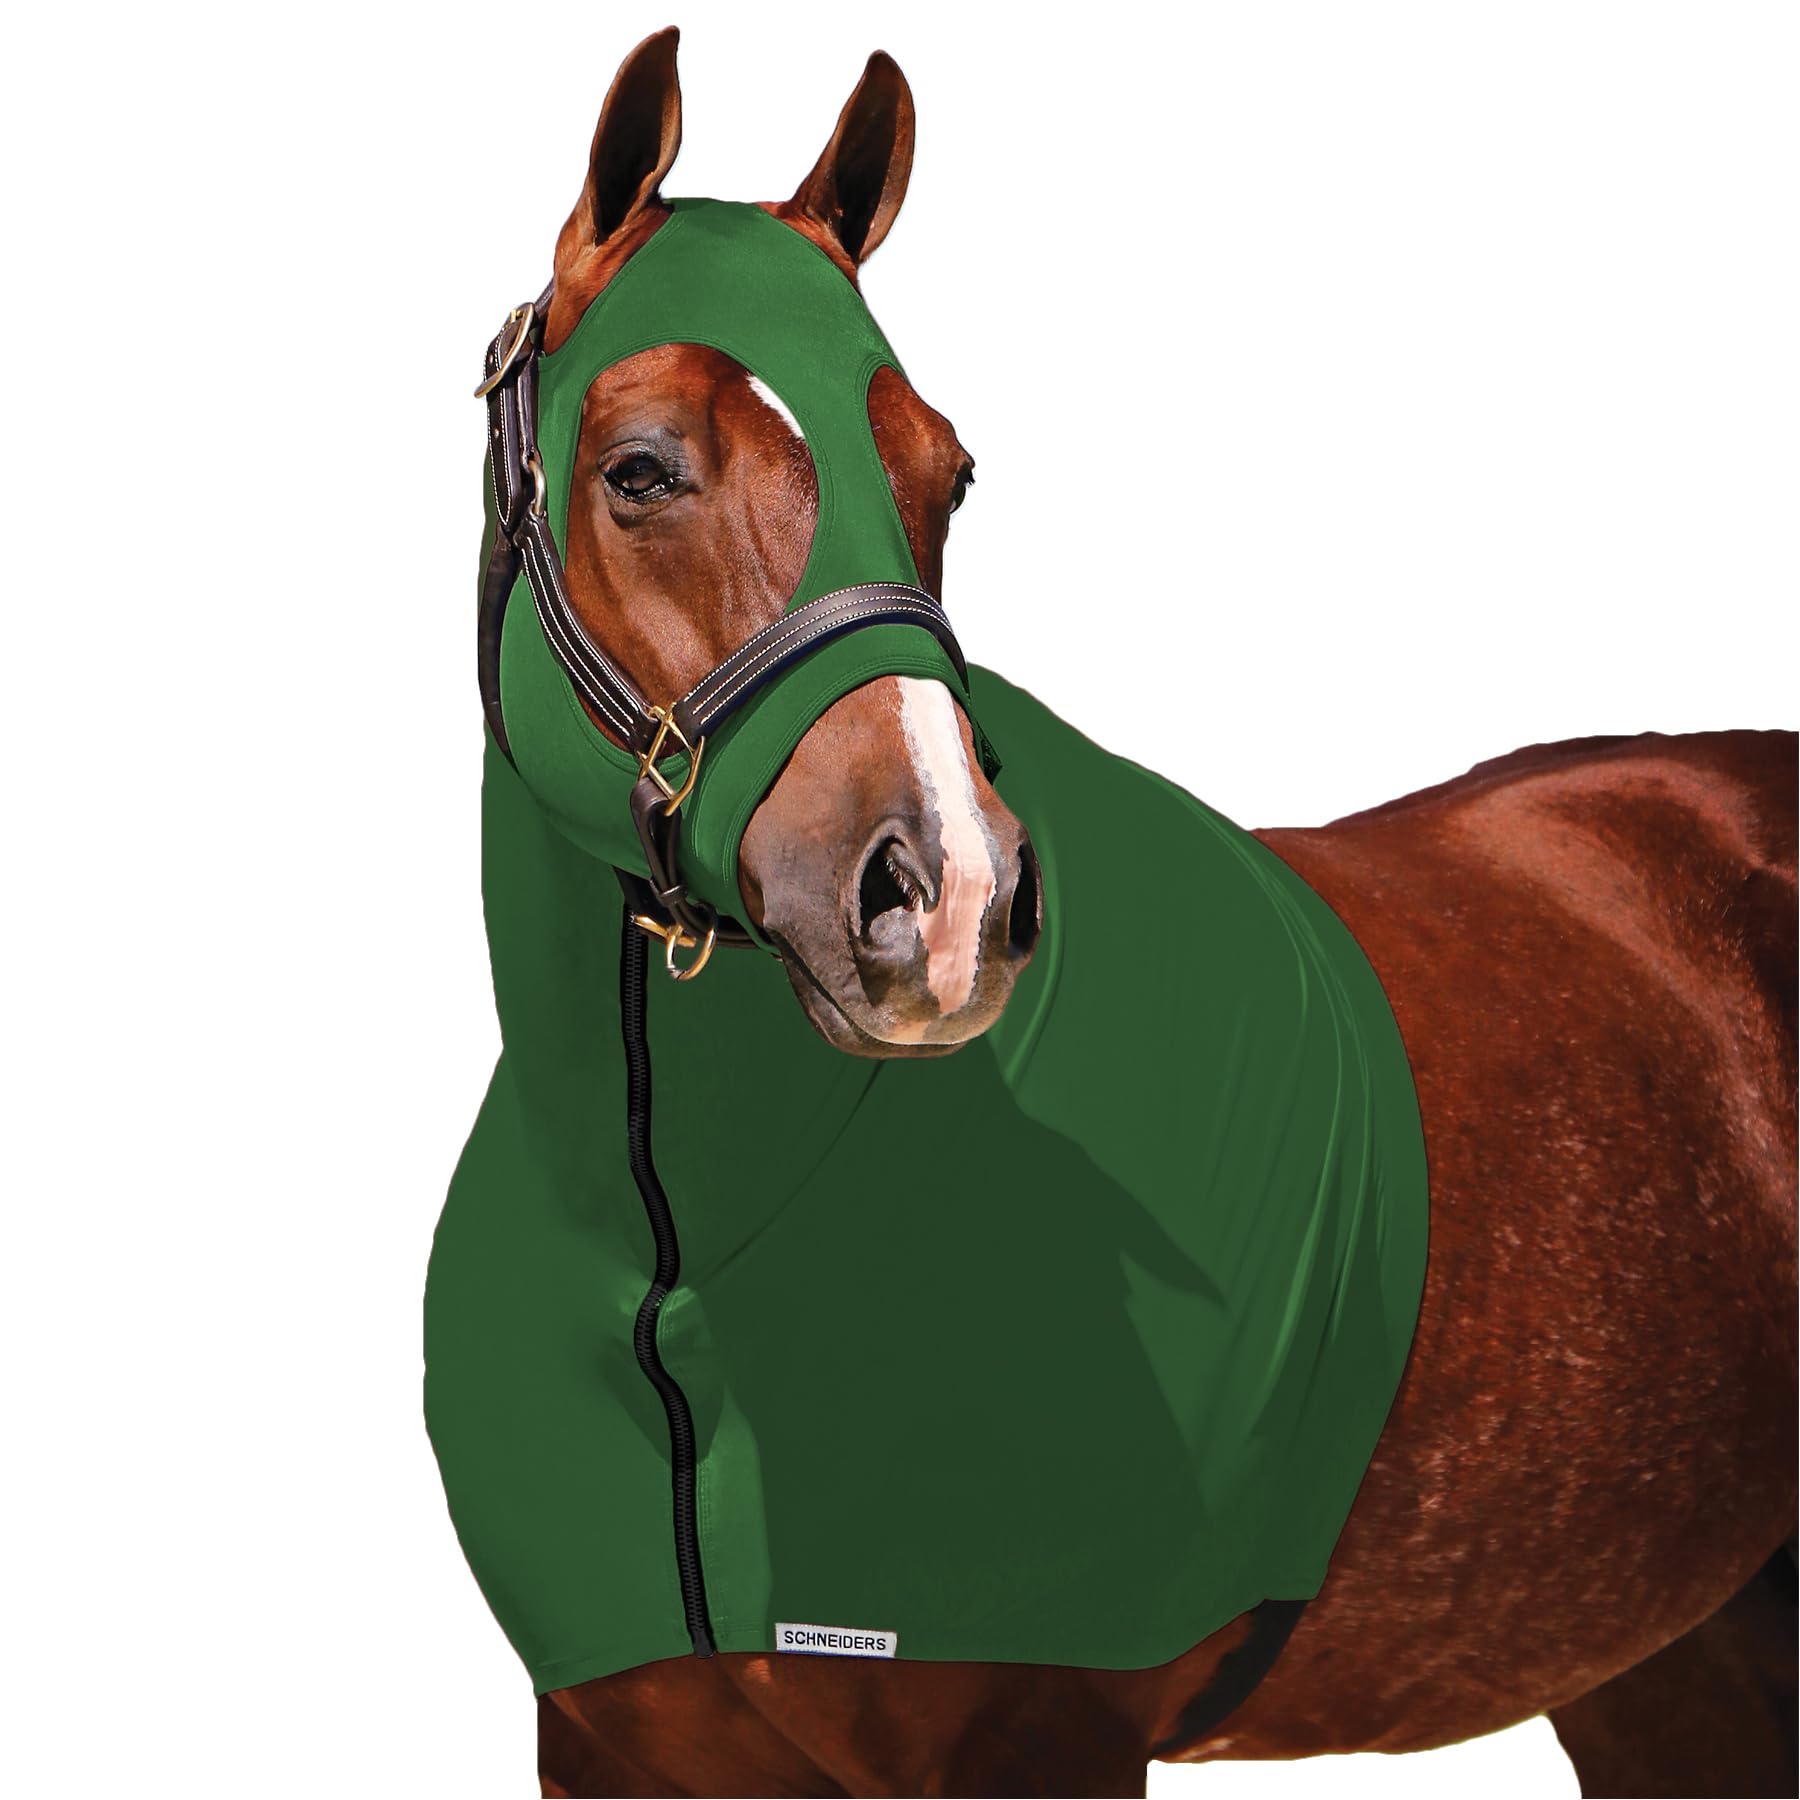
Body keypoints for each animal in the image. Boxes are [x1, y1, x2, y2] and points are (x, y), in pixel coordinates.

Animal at [442, 30, 1797, 1798]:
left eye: (945, 473)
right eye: (641, 470)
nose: (947, 895)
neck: (683, 1255)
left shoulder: (1044, 1739)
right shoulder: (614, 1751)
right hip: (1674, 1657)